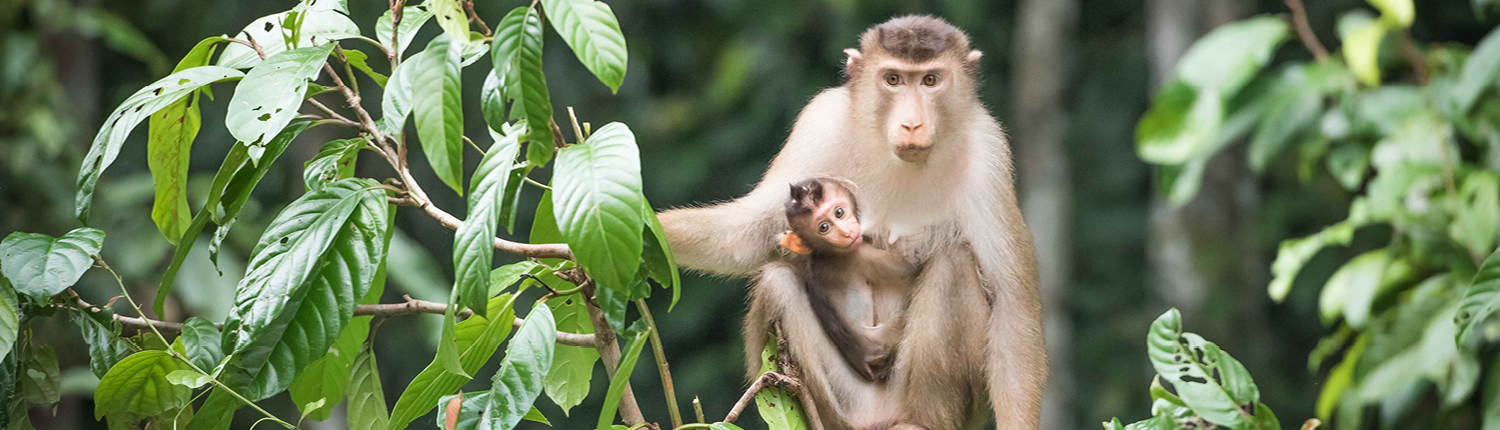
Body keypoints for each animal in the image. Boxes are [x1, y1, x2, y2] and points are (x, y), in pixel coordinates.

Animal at [786, 178, 912, 383]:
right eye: (824, 227)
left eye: (839, 213)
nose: (845, 233)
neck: (824, 252)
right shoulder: (858, 255)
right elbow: (910, 267)